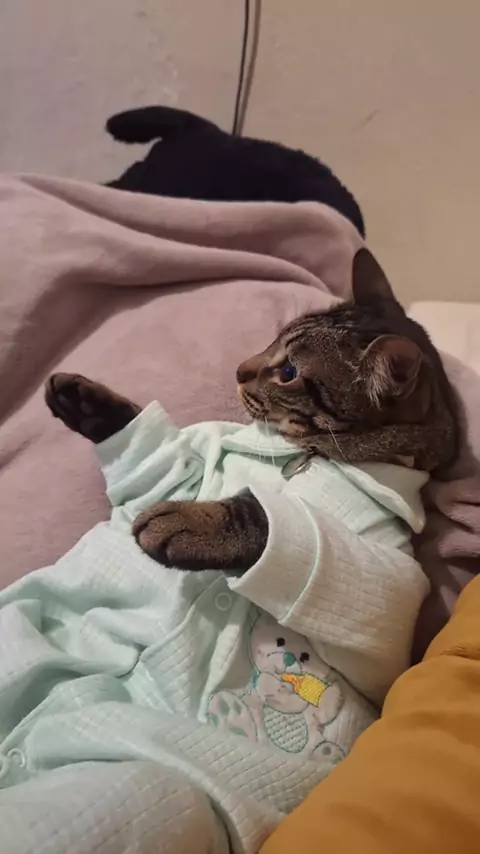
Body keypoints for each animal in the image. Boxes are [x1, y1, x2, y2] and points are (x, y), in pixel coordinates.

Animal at [45, 248, 458, 573]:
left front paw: (190, 523)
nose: (239, 369)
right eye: (274, 339)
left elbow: (268, 518)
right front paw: (85, 402)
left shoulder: (393, 571)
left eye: (288, 373)